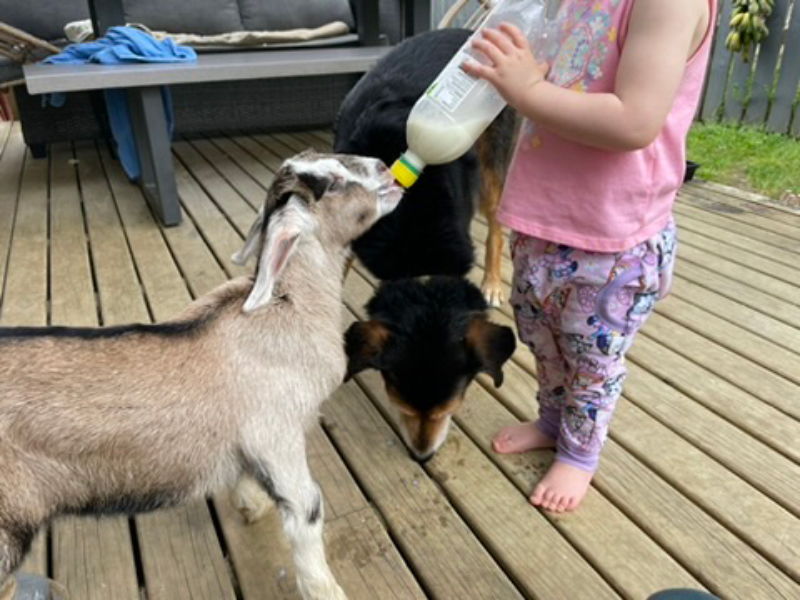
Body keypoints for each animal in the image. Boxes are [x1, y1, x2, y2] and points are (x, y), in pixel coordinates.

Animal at [0, 151, 400, 600]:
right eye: (331, 183)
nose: (385, 168)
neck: (283, 307)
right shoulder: (277, 434)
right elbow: (306, 511)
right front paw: (327, 590)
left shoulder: (247, 439)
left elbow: (243, 472)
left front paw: (250, 505)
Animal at [336, 27, 520, 460]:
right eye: (399, 406)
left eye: (450, 410)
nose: (422, 457)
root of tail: (466, 30)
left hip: (494, 161)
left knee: (497, 225)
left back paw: (493, 281)